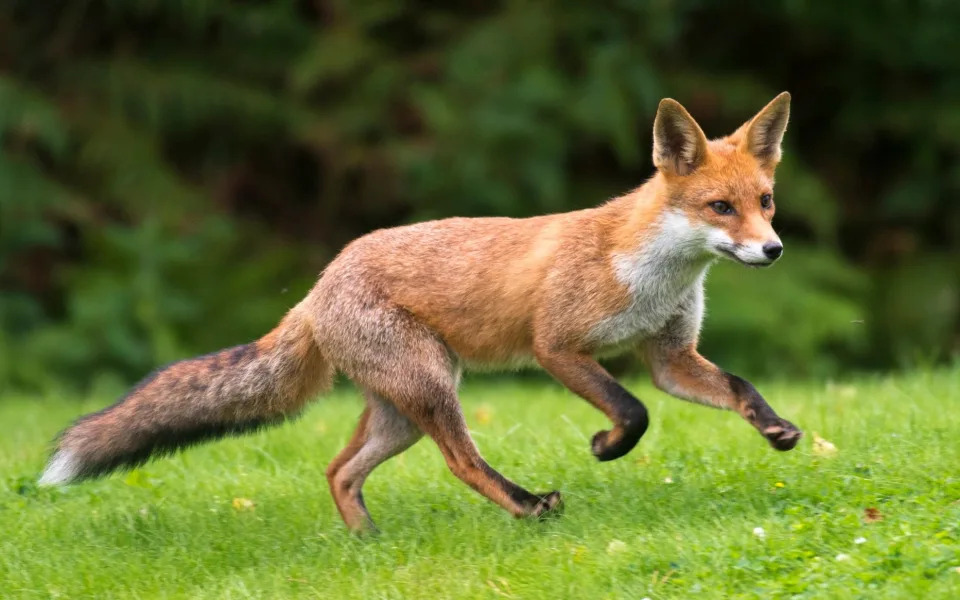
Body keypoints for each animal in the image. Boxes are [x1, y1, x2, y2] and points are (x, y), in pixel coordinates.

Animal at [41, 95, 800, 536]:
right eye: (719, 208)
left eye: (765, 201)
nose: (773, 250)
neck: (649, 272)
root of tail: (317, 288)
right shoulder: (557, 346)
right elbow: (634, 411)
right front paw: (606, 446)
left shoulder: (670, 357)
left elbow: (736, 388)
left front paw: (776, 428)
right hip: (434, 389)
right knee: (461, 462)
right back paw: (526, 507)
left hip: (401, 411)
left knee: (338, 470)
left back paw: (367, 544)